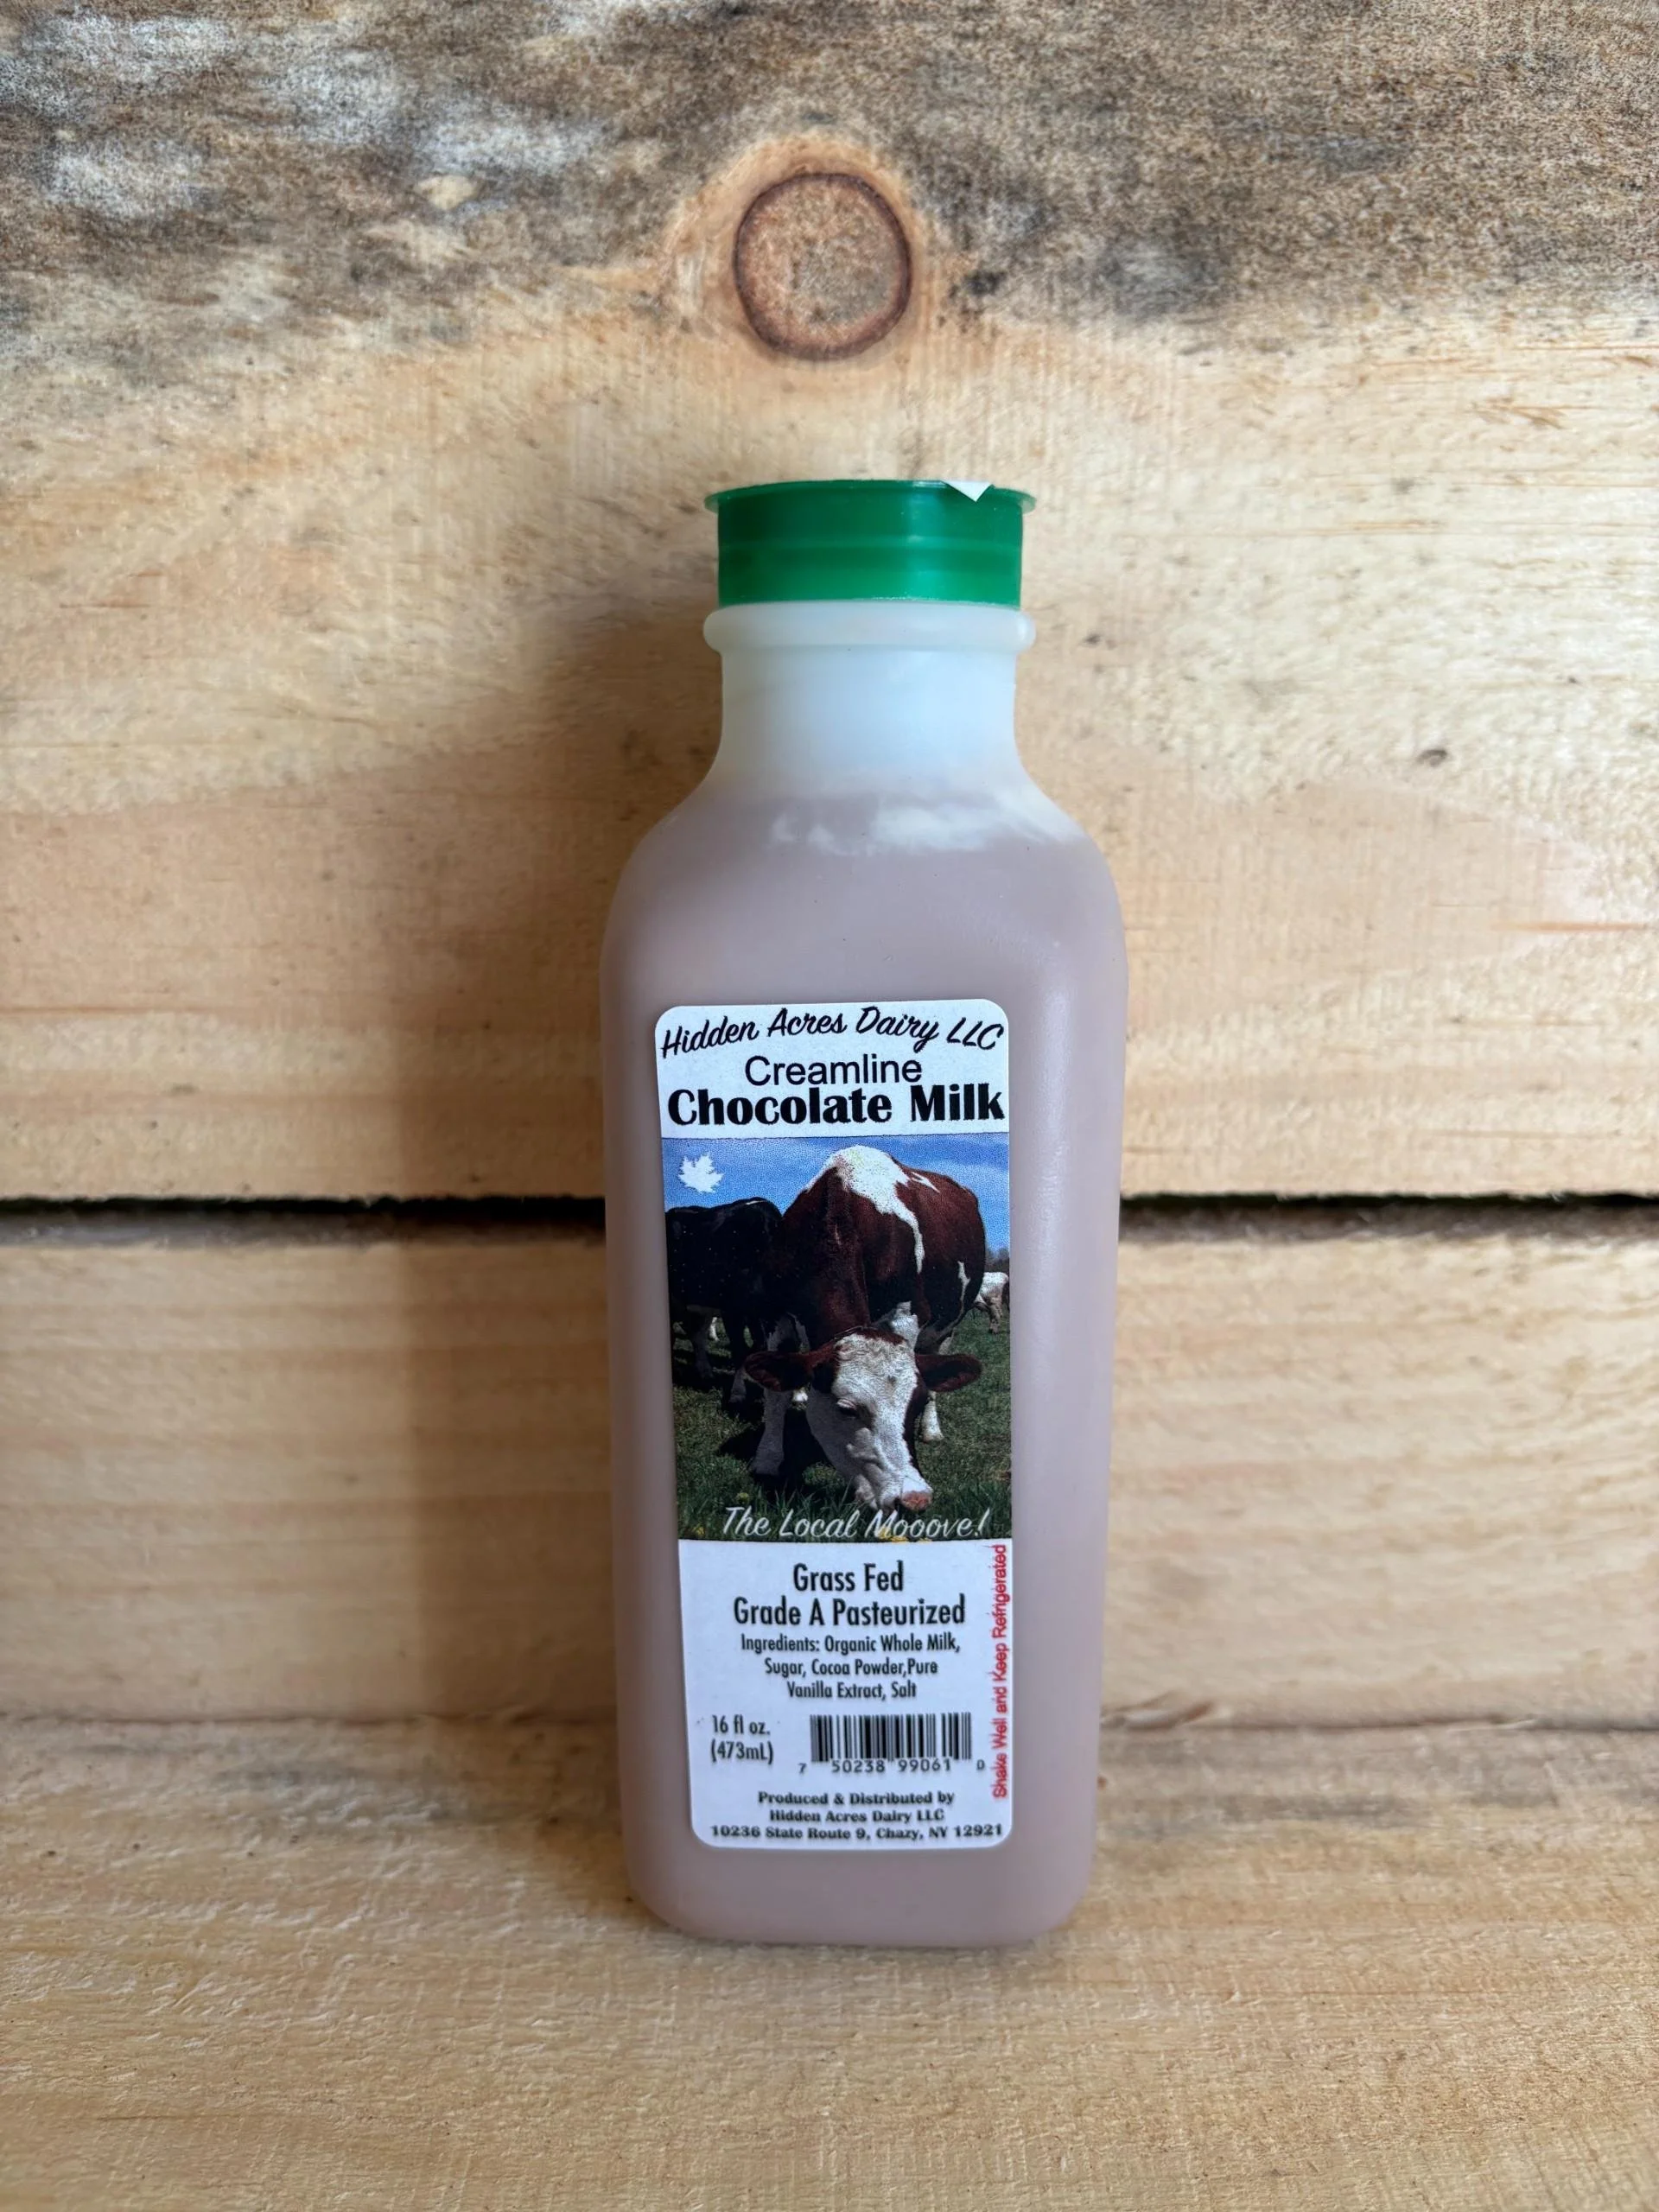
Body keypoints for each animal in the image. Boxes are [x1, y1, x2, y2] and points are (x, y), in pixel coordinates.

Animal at [742, 1146, 985, 1514]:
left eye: (914, 1403)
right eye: (847, 1410)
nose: (914, 1497)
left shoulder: (907, 1315)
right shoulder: (774, 1313)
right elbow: (775, 1393)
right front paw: (767, 1459)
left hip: (950, 1324)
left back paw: (932, 1430)